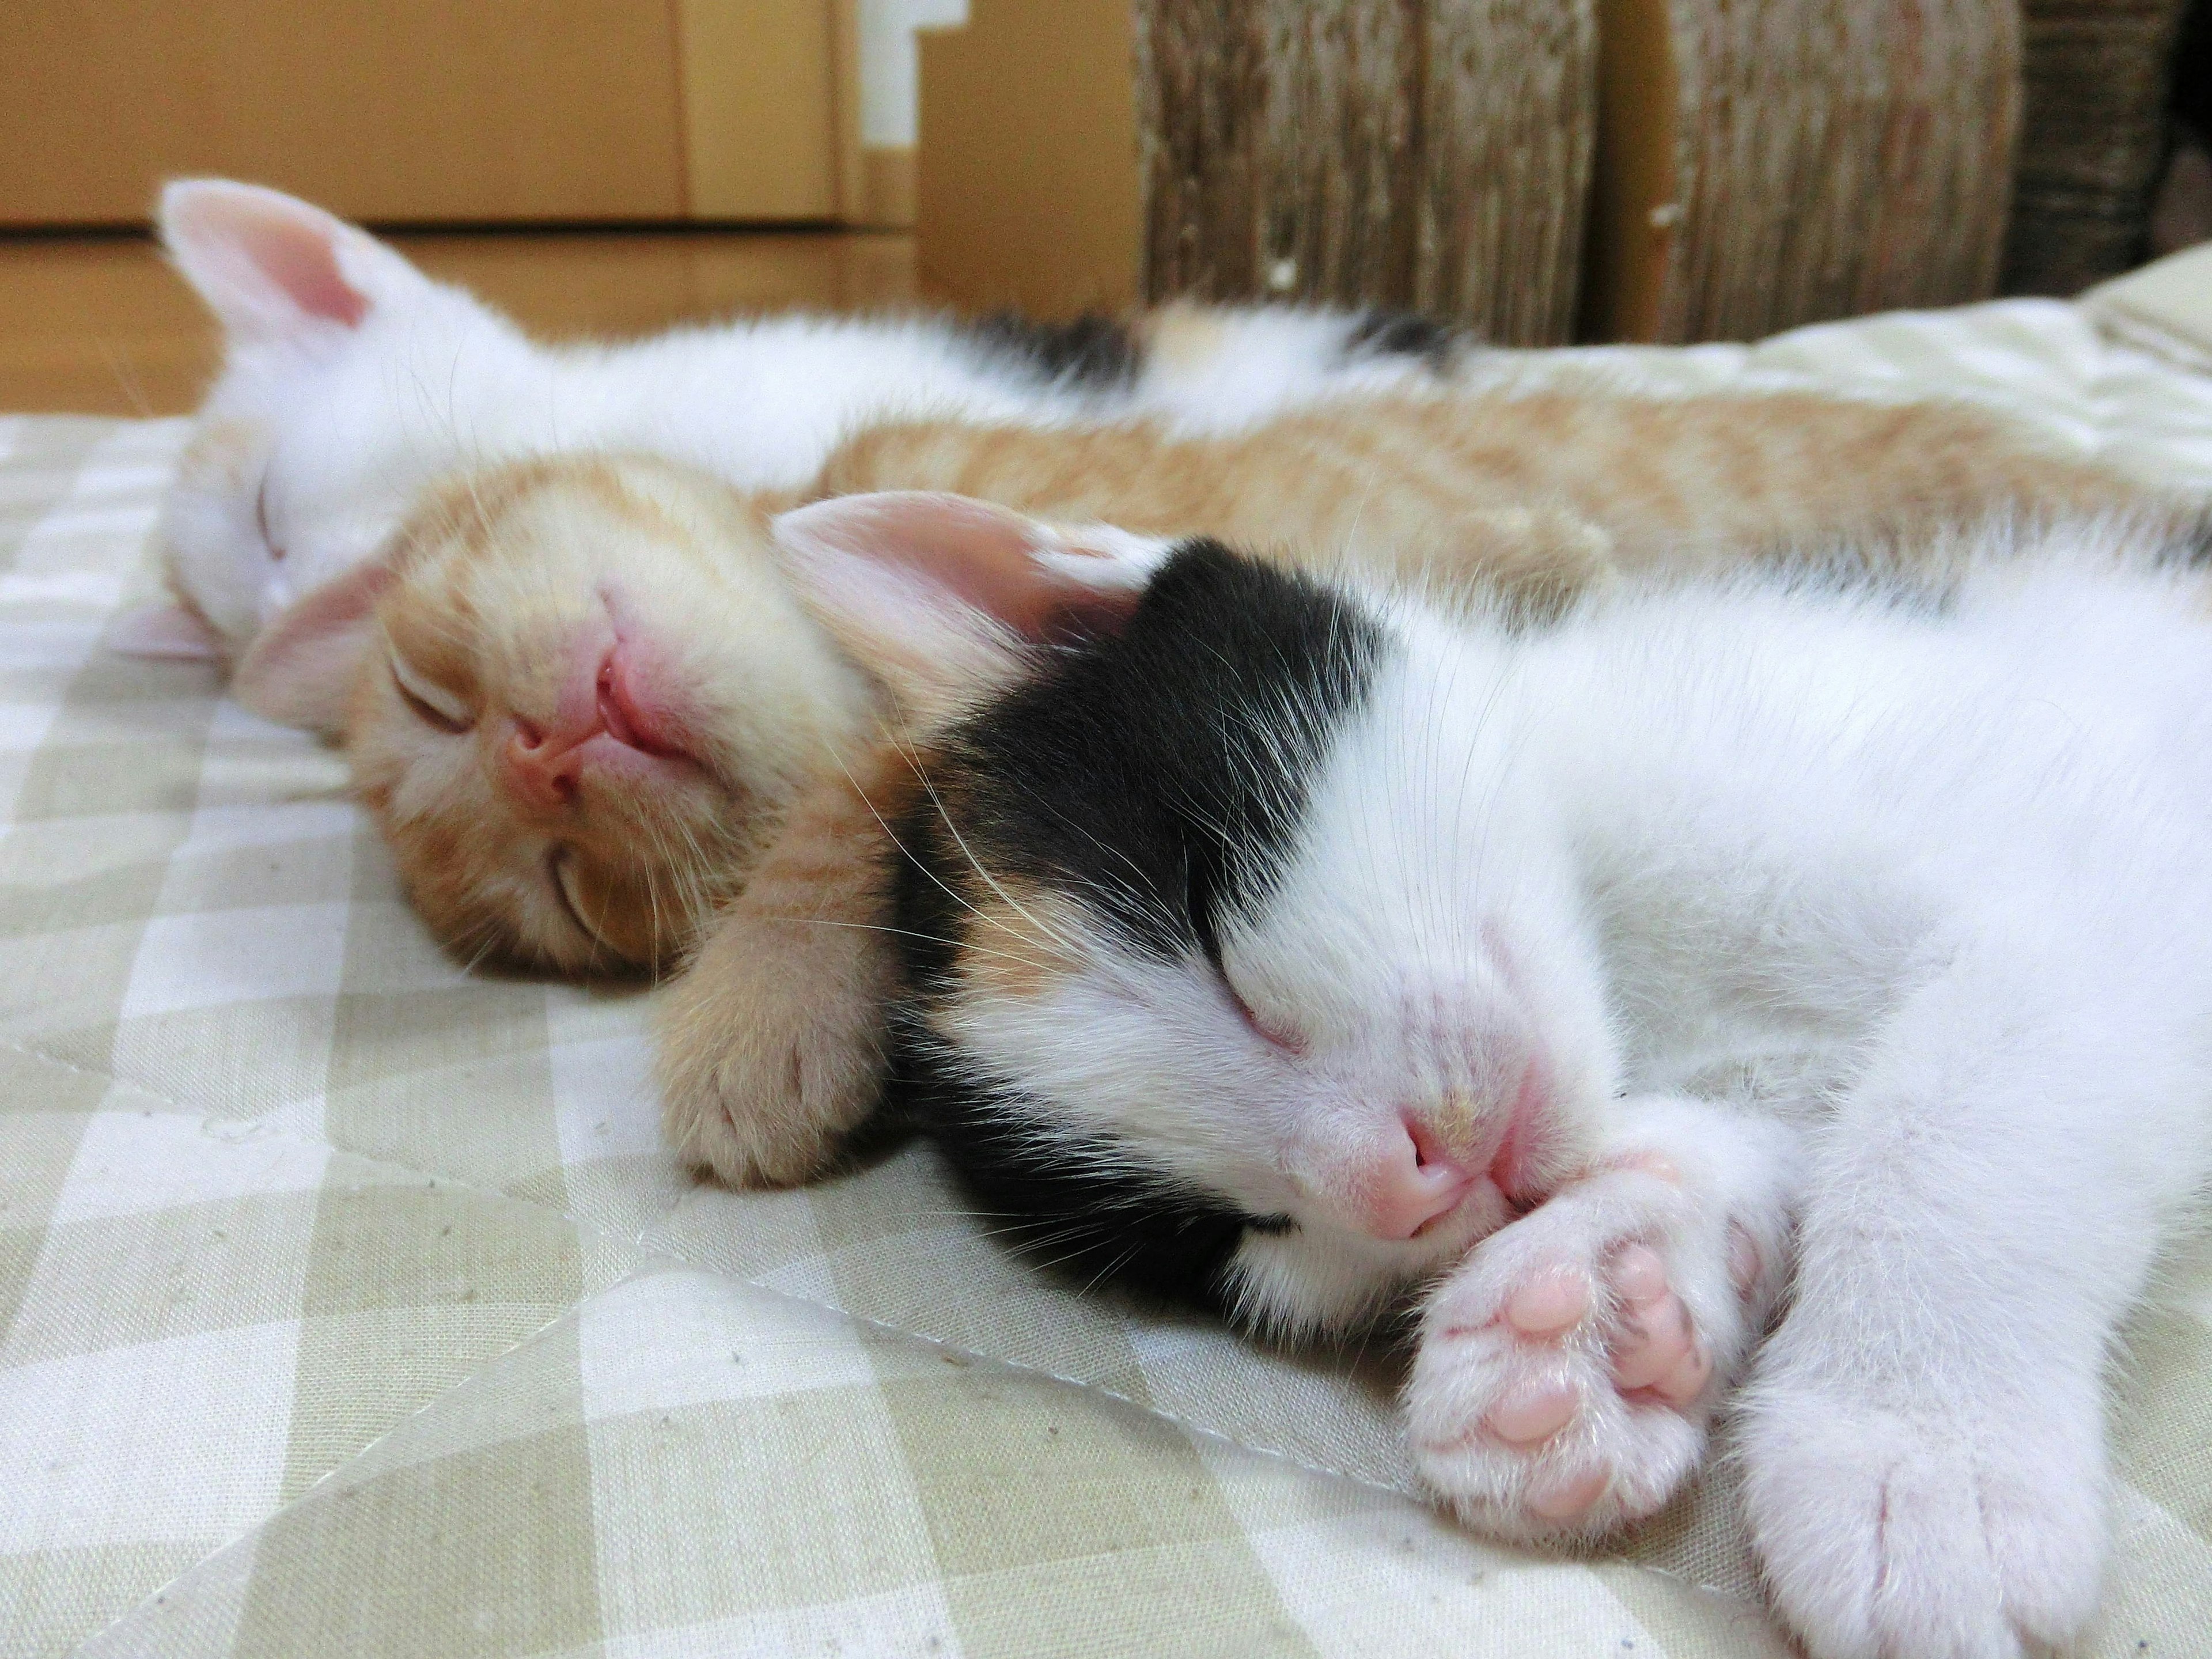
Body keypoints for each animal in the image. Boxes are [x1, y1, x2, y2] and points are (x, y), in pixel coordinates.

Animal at [760, 493, 2212, 1659]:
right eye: (1232, 1237)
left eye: (1211, 934)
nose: (1395, 1178)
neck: (1627, 953)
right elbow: (1749, 1136)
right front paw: (1601, 1313)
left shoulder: (2082, 862)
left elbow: (1956, 1120)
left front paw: (1915, 1452)